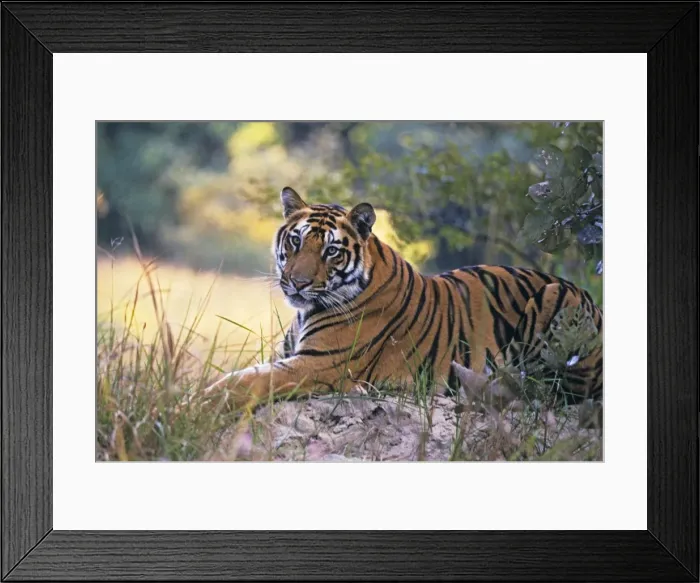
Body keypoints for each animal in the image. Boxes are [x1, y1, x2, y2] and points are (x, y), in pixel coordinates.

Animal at [205, 186, 603, 412]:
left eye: (332, 251)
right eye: (295, 241)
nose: (298, 284)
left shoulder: (319, 366)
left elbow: (243, 381)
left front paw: (198, 403)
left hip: (557, 299)